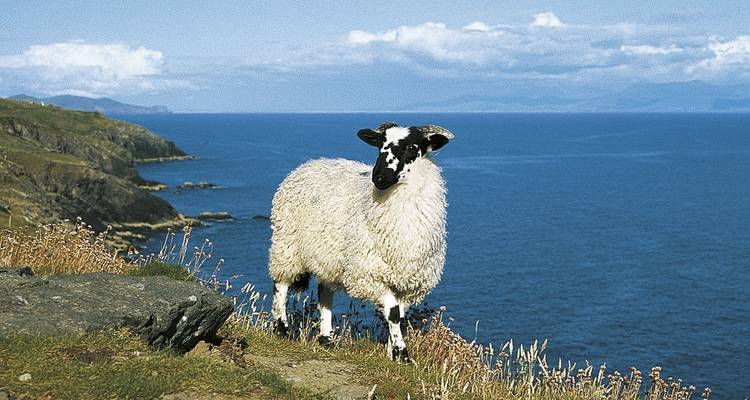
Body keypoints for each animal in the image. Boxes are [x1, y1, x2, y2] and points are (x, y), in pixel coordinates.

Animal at [268, 122, 453, 362]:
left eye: (411, 148)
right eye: (380, 146)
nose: (379, 177)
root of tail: (311, 163)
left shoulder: (408, 282)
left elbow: (399, 316)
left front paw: (392, 352)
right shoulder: (367, 274)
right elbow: (393, 312)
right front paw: (402, 353)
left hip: (328, 257)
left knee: (324, 293)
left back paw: (326, 338)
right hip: (287, 244)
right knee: (281, 284)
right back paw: (282, 328)